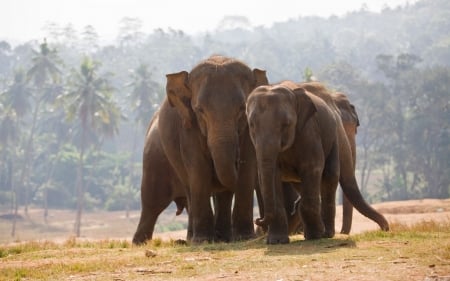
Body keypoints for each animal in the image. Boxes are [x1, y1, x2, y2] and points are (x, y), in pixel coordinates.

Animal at [244, 79, 388, 243]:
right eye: (251, 125)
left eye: (286, 124)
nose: (258, 219)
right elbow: (272, 174)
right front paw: (276, 241)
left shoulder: (310, 131)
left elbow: (312, 167)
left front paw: (315, 236)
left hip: (333, 138)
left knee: (330, 176)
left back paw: (324, 234)